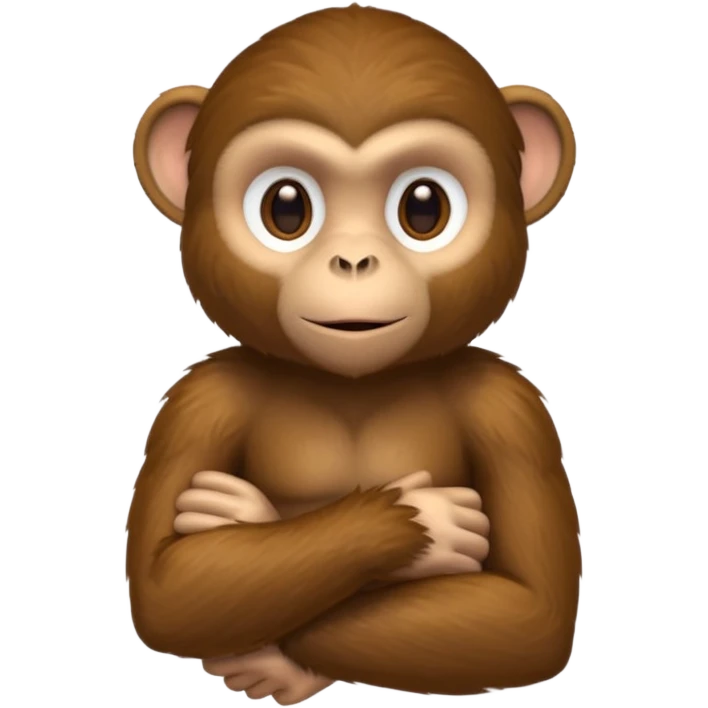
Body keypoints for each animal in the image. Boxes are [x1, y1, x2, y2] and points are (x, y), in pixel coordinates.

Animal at [127, 3, 581, 704]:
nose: (354, 259)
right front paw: (419, 525)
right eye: (286, 207)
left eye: (424, 206)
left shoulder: (510, 408)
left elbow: (531, 613)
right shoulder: (200, 400)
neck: (355, 383)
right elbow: (168, 583)